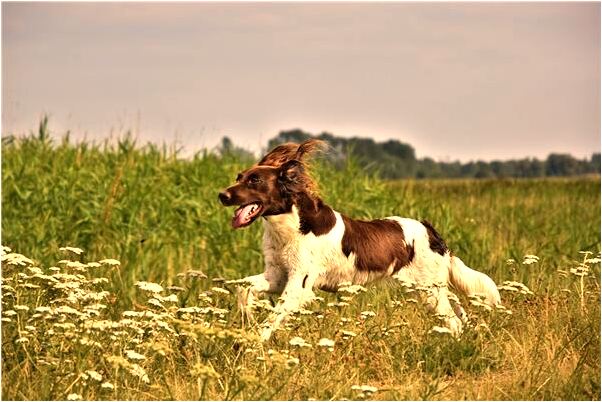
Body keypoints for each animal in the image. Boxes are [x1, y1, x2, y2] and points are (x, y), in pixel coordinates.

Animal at [218, 140, 500, 340]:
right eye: (238, 177)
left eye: (255, 180)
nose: (222, 195)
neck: (291, 226)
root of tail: (431, 231)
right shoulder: (277, 275)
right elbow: (243, 290)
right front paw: (247, 317)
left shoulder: (299, 284)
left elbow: (269, 320)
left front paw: (251, 344)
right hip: (433, 288)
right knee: (459, 312)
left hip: (429, 290)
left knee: (453, 321)